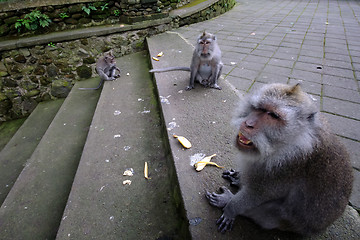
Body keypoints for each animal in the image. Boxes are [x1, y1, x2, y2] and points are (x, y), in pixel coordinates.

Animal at [207, 83, 352, 235]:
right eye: (259, 108)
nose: (248, 123)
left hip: (286, 223)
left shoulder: (285, 168)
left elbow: (257, 194)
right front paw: (238, 177)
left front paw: (231, 208)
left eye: (273, 115)